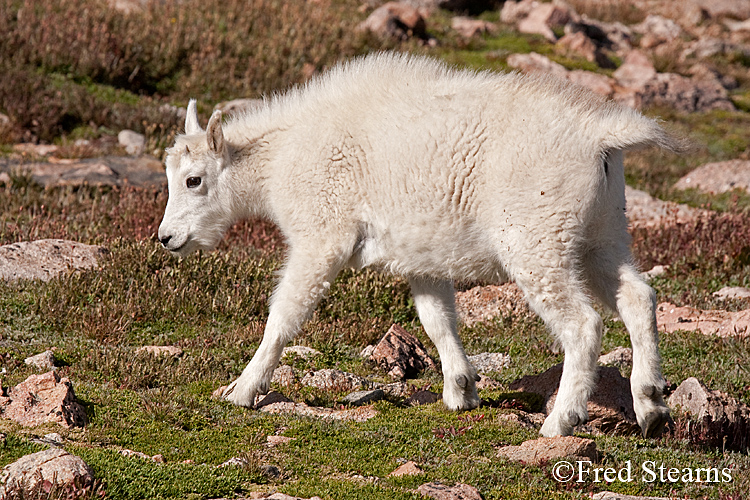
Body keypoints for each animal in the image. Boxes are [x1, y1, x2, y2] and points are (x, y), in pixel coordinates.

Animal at [159, 51, 680, 438]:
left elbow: (284, 316)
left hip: (538, 243)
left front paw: (242, 389)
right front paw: (461, 392)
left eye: (193, 179)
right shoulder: (421, 255)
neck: (278, 157)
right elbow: (437, 318)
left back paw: (561, 420)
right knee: (638, 296)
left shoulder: (321, 237)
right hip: (602, 234)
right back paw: (651, 406)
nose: (166, 238)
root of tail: (601, 139)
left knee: (582, 324)